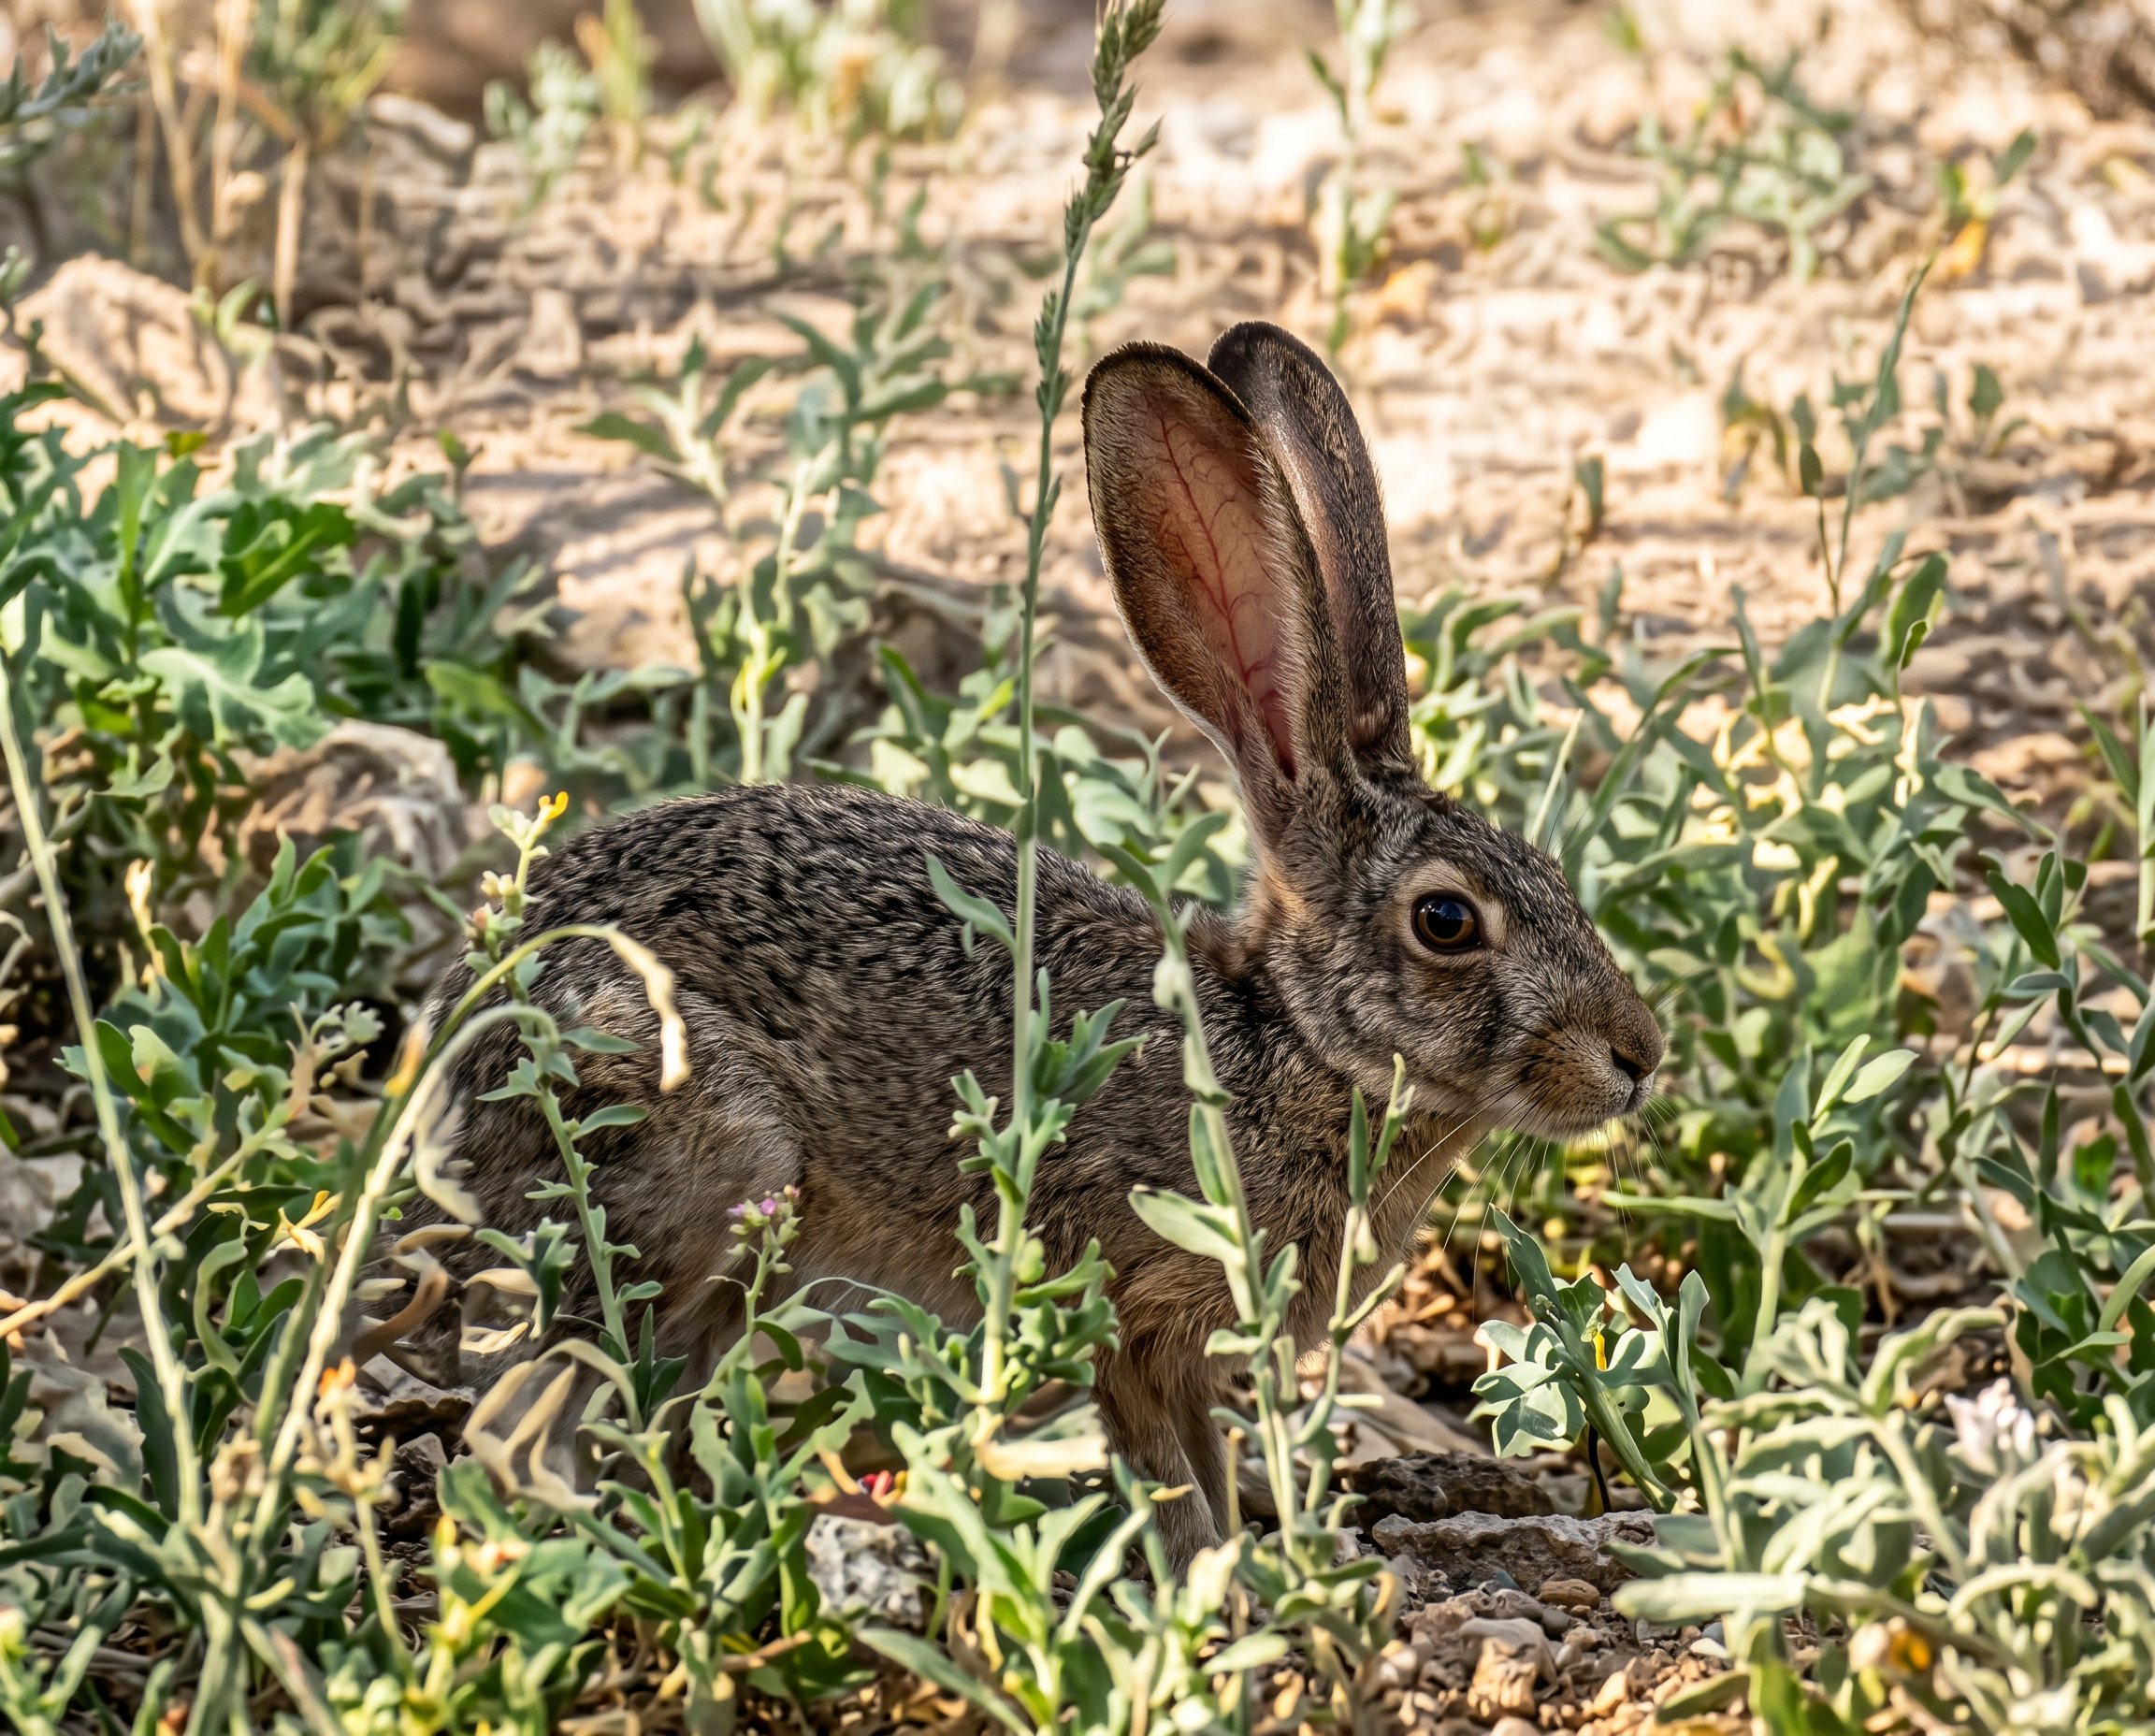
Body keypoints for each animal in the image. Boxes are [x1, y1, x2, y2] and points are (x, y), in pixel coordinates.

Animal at [403, 320, 1663, 1568]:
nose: (1638, 1055)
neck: (1294, 1044)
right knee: (520, 1426)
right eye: (1447, 920)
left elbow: (1209, 1468)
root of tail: (452, 1063)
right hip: (713, 1166)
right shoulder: (1132, 1314)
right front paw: (1217, 1590)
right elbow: (1173, 1480)